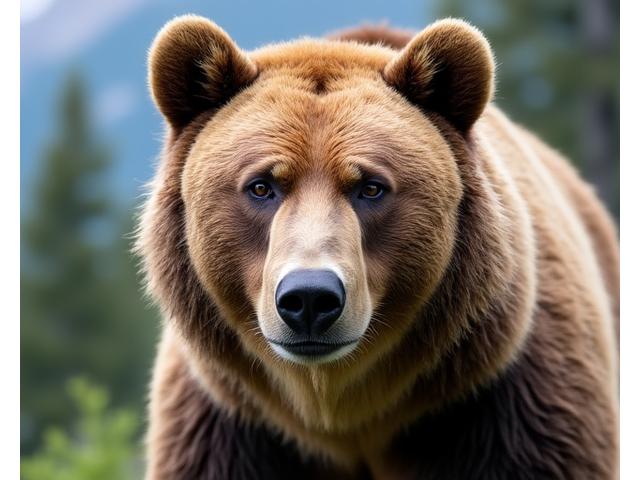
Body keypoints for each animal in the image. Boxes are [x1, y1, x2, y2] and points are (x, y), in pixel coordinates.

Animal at [136, 15, 620, 479]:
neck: (343, 412)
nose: (309, 298)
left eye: (370, 187)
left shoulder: (501, 407)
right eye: (261, 186)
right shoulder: (232, 427)